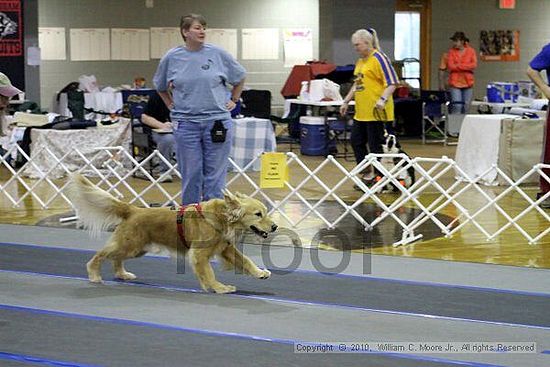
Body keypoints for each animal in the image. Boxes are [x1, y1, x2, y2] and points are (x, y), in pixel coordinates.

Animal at [68, 175, 276, 294]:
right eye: (258, 214)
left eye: (265, 212)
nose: (274, 227)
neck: (222, 218)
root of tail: (133, 209)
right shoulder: (199, 254)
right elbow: (208, 273)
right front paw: (219, 288)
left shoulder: (226, 249)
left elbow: (245, 261)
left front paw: (260, 273)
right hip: (130, 245)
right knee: (100, 255)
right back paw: (94, 274)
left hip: (136, 249)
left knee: (115, 258)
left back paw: (122, 274)